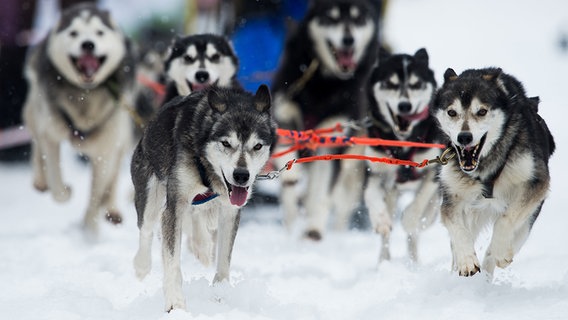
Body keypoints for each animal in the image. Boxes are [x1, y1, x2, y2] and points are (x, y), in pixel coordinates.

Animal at [21, 1, 138, 232]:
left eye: (99, 32)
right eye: (73, 33)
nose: (88, 45)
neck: (86, 94)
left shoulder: (106, 149)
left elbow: (96, 195)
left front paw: (89, 229)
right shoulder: (51, 135)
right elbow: (57, 185)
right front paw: (65, 191)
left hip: (122, 138)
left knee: (113, 178)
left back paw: (111, 209)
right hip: (36, 112)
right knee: (37, 143)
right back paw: (40, 181)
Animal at [131, 85, 278, 312]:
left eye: (257, 146)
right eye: (226, 143)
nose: (241, 175)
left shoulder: (230, 211)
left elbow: (224, 260)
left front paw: (221, 293)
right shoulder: (174, 205)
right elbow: (172, 261)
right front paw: (175, 303)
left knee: (196, 216)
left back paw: (201, 246)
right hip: (150, 196)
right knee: (147, 229)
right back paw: (142, 265)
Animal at [272, 0, 380, 239]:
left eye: (358, 19)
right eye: (332, 17)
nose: (348, 40)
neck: (324, 84)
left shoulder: (331, 145)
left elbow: (322, 194)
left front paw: (313, 230)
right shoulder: (283, 119)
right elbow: (289, 174)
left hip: (355, 169)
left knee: (340, 204)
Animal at [366, 48, 442, 262]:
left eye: (416, 84)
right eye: (390, 83)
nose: (404, 106)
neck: (403, 143)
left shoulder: (434, 169)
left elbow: (418, 207)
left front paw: (409, 219)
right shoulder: (376, 172)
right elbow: (370, 194)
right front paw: (380, 220)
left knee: (424, 220)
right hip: (392, 193)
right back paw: (384, 261)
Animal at [430, 68, 556, 278]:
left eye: (482, 111)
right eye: (451, 112)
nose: (464, 137)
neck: (484, 164)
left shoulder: (535, 183)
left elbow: (505, 219)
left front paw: (500, 251)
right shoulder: (452, 199)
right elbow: (458, 230)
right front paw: (466, 261)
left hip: (527, 222)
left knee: (497, 249)